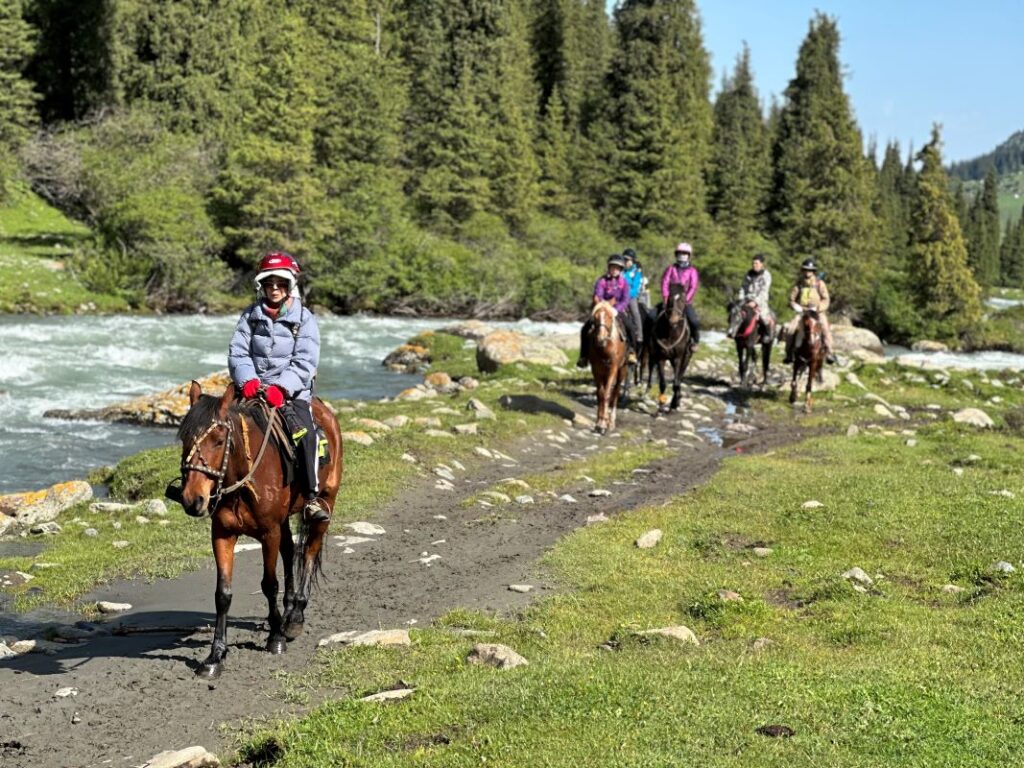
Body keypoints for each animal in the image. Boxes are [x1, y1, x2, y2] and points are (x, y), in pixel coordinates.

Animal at [169, 385, 342, 679]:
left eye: (219, 440)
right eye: (185, 438)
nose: (193, 500)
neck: (243, 482)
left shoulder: (268, 533)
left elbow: (269, 584)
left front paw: (276, 638)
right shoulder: (222, 534)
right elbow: (223, 594)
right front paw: (216, 656)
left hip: (325, 503)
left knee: (309, 552)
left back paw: (294, 618)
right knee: (290, 551)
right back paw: (288, 610)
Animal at [589, 299, 626, 434]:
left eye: (610, 317)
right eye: (595, 317)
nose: (601, 339)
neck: (605, 349)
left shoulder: (613, 370)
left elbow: (606, 395)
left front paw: (603, 425)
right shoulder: (596, 370)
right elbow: (600, 394)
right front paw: (598, 422)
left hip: (622, 370)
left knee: (615, 392)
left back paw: (611, 422)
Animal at [643, 284, 692, 415]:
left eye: (683, 299)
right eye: (669, 298)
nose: (673, 319)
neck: (671, 332)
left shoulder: (678, 358)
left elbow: (676, 383)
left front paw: (673, 405)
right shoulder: (661, 358)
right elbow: (663, 383)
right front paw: (660, 407)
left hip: (685, 359)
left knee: (679, 379)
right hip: (652, 353)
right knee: (650, 367)